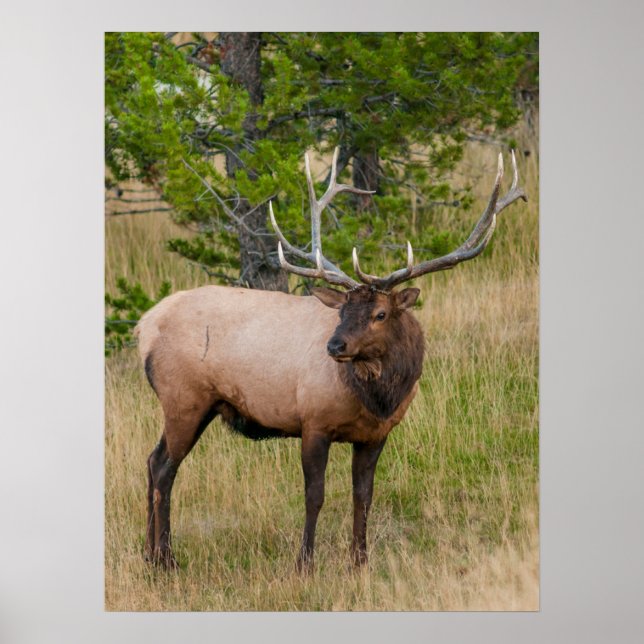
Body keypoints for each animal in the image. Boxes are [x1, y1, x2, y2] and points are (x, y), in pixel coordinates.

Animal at [135, 148, 526, 572]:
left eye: (380, 314)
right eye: (342, 310)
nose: (335, 346)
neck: (377, 397)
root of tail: (144, 327)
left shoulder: (376, 434)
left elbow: (364, 495)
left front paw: (360, 561)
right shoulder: (313, 422)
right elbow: (315, 495)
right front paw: (304, 563)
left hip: (194, 405)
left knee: (152, 461)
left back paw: (149, 554)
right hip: (184, 398)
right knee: (164, 469)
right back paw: (166, 559)